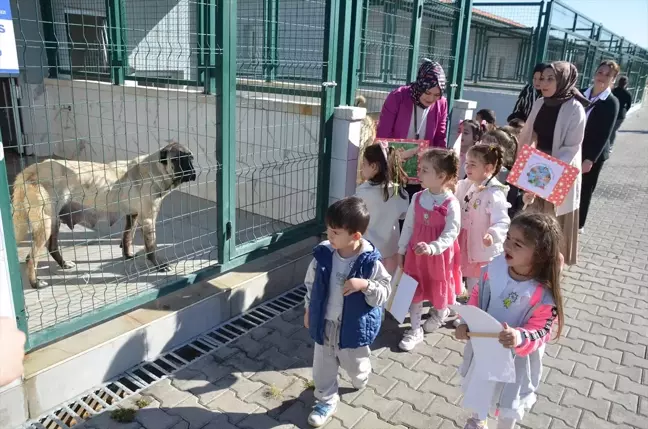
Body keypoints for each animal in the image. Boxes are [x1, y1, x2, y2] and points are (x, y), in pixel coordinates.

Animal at [12, 141, 195, 288]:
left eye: (190, 158)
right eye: (178, 159)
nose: (193, 172)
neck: (154, 170)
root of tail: (30, 170)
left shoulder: (133, 216)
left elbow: (127, 237)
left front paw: (127, 255)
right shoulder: (149, 220)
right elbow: (151, 248)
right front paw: (159, 266)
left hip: (54, 221)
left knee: (51, 247)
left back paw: (63, 264)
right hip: (46, 224)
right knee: (31, 257)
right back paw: (35, 283)